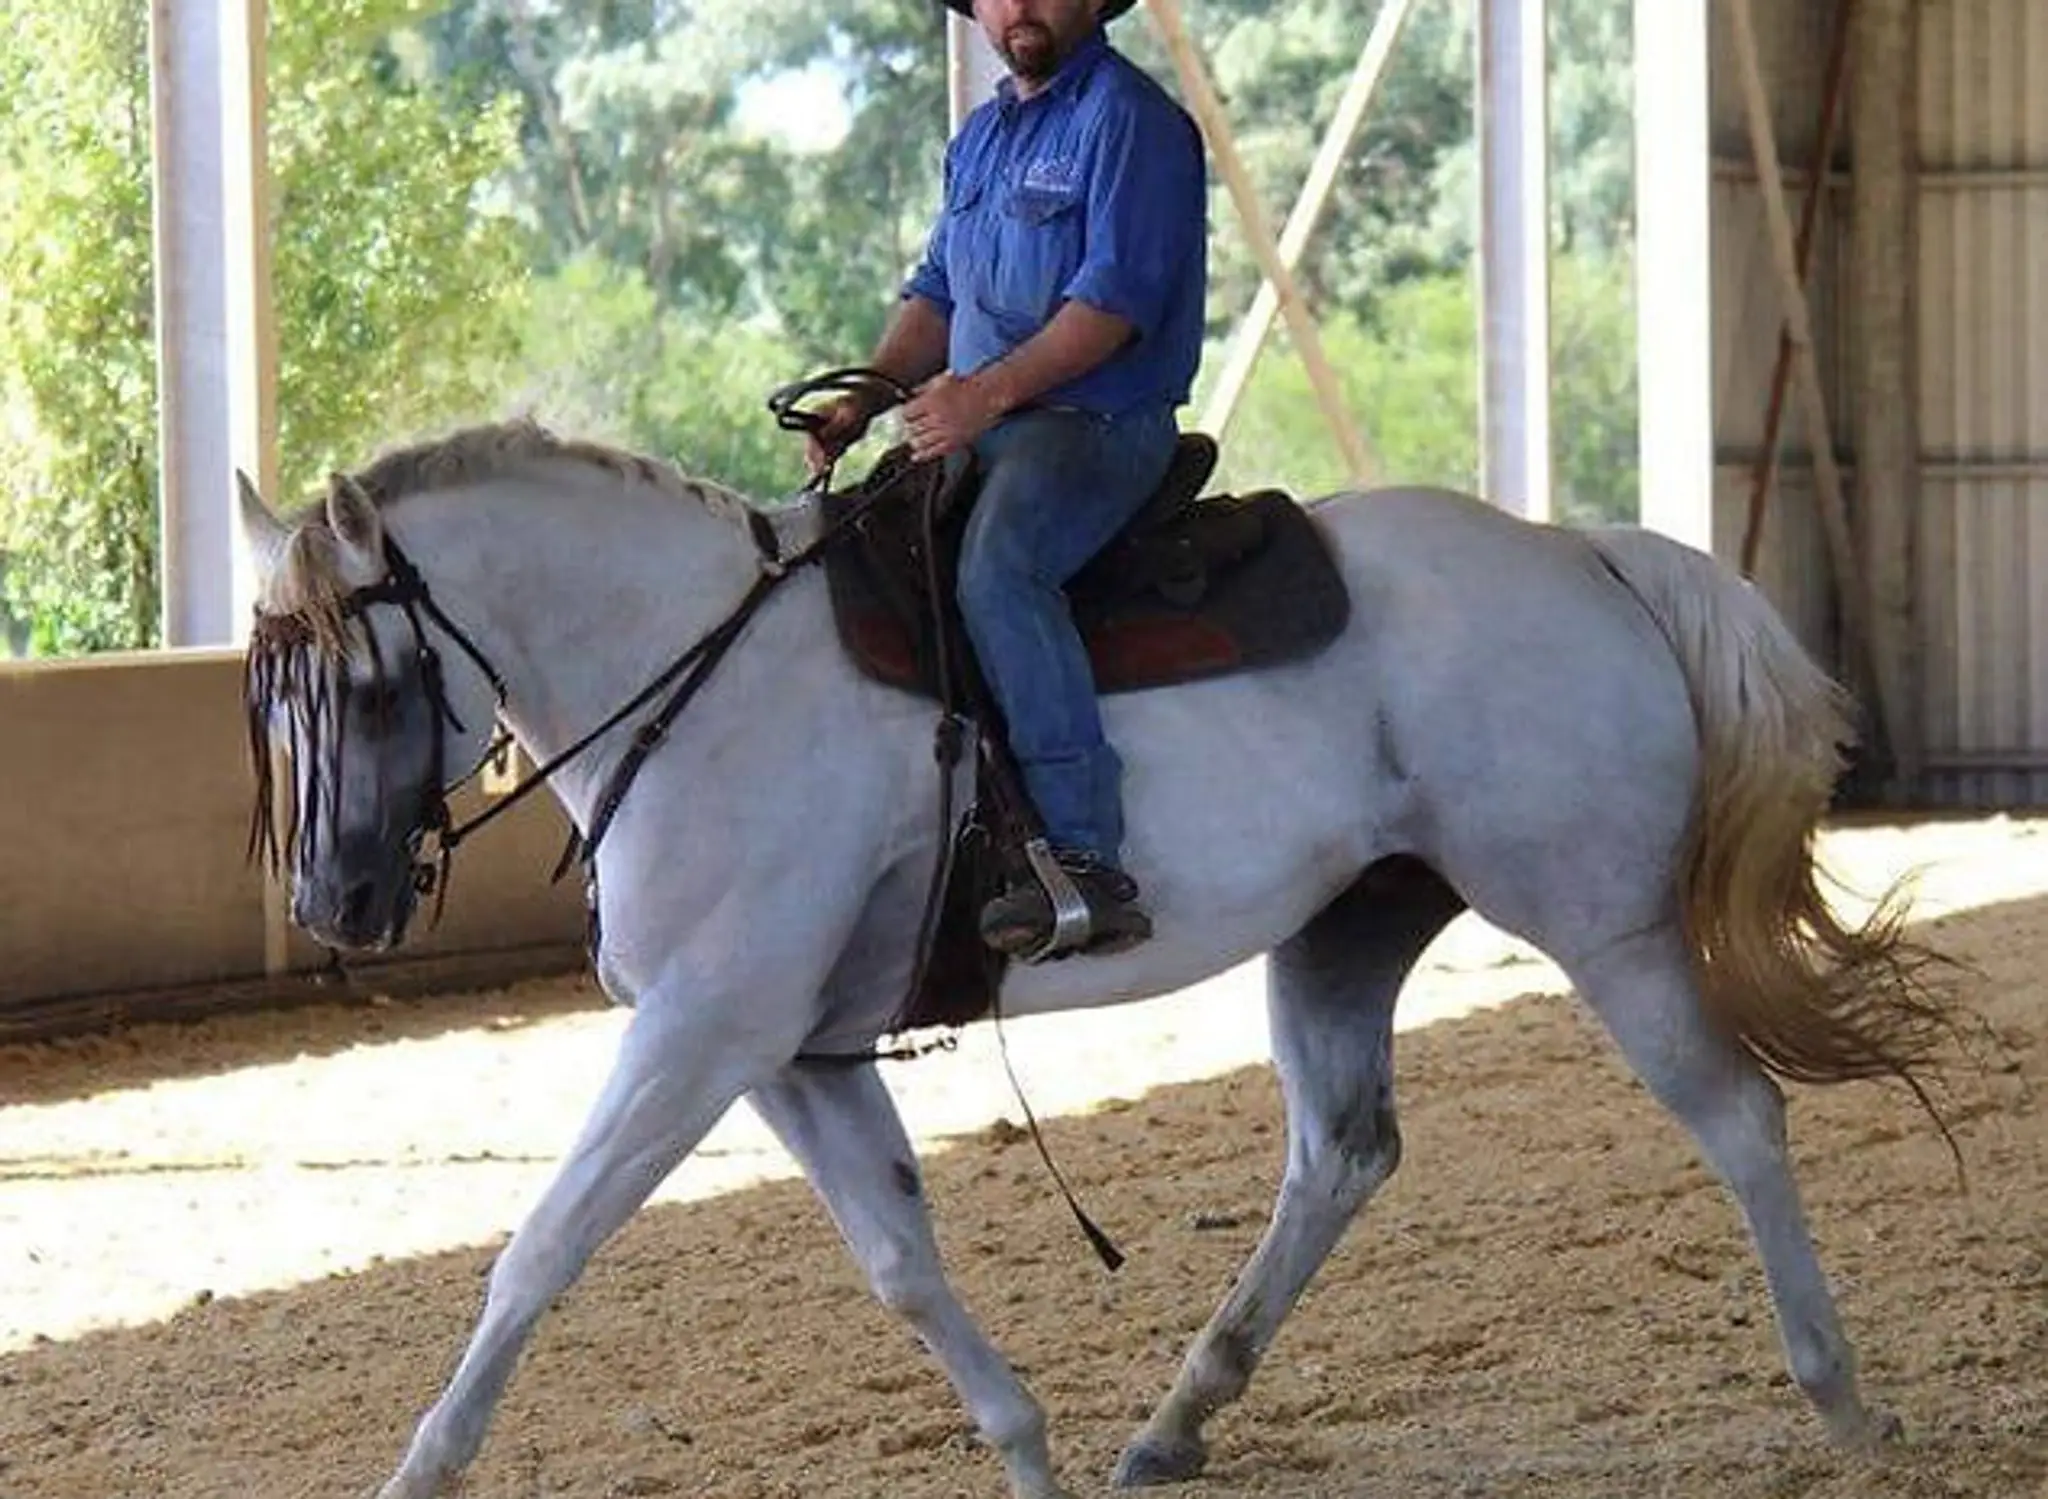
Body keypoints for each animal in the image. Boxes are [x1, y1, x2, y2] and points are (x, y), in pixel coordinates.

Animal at [236, 418, 1950, 1499]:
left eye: (372, 684)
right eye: (266, 692)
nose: (337, 898)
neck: (702, 677)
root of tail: (1582, 551)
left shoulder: (699, 1034)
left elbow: (538, 1247)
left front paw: (419, 1464)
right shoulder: (785, 1050)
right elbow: (898, 1258)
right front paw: (1026, 1445)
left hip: (1602, 920)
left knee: (1736, 1115)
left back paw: (1845, 1399)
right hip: (1344, 933)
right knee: (1340, 1154)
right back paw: (1176, 1419)